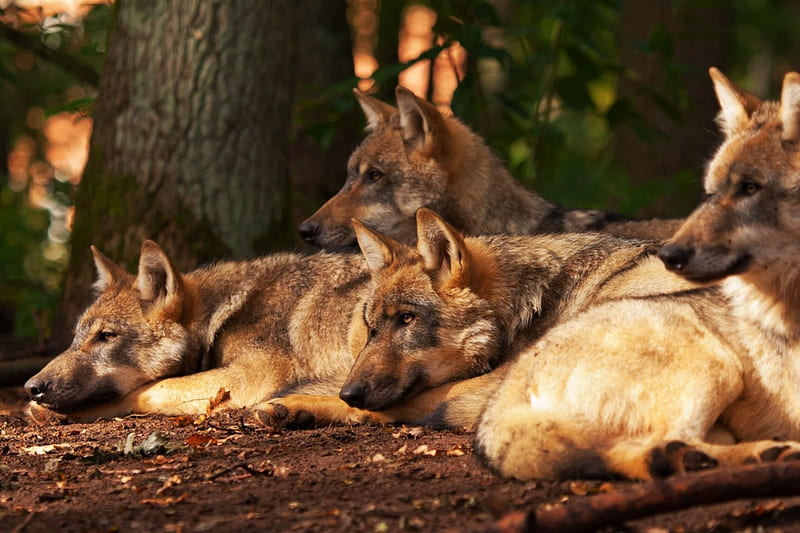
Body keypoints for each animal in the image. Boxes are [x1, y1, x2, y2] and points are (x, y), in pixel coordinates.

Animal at [25, 239, 372, 422]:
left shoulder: (254, 376)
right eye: (76, 338)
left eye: (106, 336)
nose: (32, 387)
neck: (222, 315)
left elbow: (152, 389)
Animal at [472, 68, 800, 480]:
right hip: (717, 367)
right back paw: (757, 455)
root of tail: (503, 396)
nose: (670, 255)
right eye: (710, 193)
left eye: (750, 188)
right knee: (668, 443)